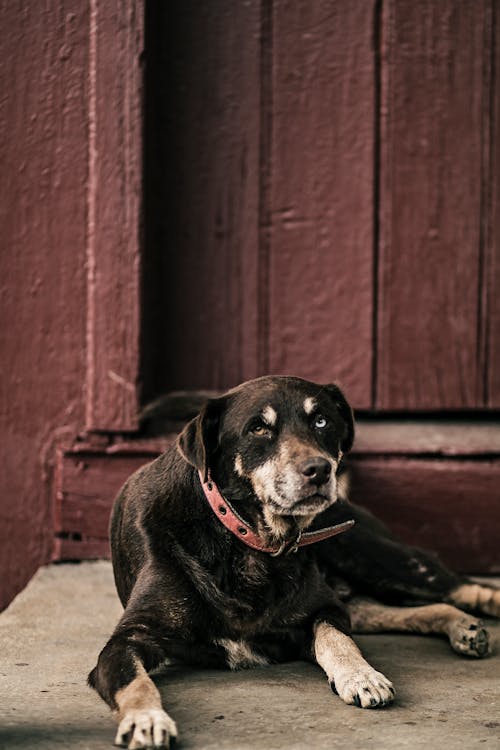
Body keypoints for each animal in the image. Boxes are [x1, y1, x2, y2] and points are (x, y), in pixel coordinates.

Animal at [89, 378, 500, 748]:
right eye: (257, 428)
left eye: (321, 421)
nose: (320, 470)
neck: (250, 540)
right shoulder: (129, 639)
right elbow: (136, 682)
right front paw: (148, 719)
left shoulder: (324, 609)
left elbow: (336, 640)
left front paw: (361, 676)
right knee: (402, 609)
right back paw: (462, 627)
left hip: (378, 558)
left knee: (453, 583)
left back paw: (476, 612)